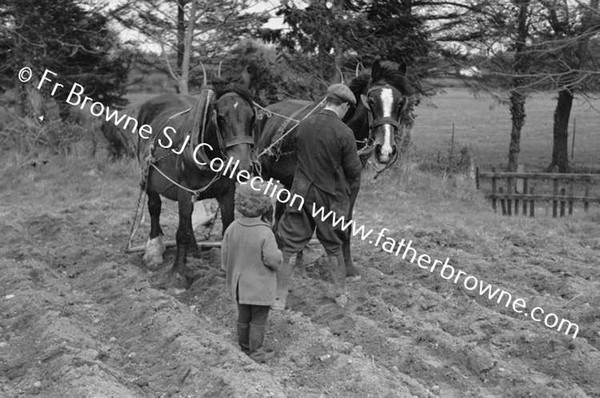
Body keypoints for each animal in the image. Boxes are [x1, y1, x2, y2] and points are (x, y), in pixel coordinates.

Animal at [137, 69, 256, 286]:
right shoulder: (185, 192)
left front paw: (225, 271)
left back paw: (194, 251)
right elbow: (181, 233)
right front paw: (178, 274)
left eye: (252, 116)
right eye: (221, 117)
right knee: (154, 207)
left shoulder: (227, 193)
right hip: (149, 176)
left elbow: (226, 227)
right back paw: (154, 248)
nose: (241, 165)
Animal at [255, 59, 414, 280]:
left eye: (400, 103)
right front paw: (300, 265)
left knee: (280, 212)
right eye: (371, 101)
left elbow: (345, 224)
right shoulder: (306, 181)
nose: (386, 150)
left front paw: (348, 268)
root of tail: (266, 111)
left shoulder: (352, 184)